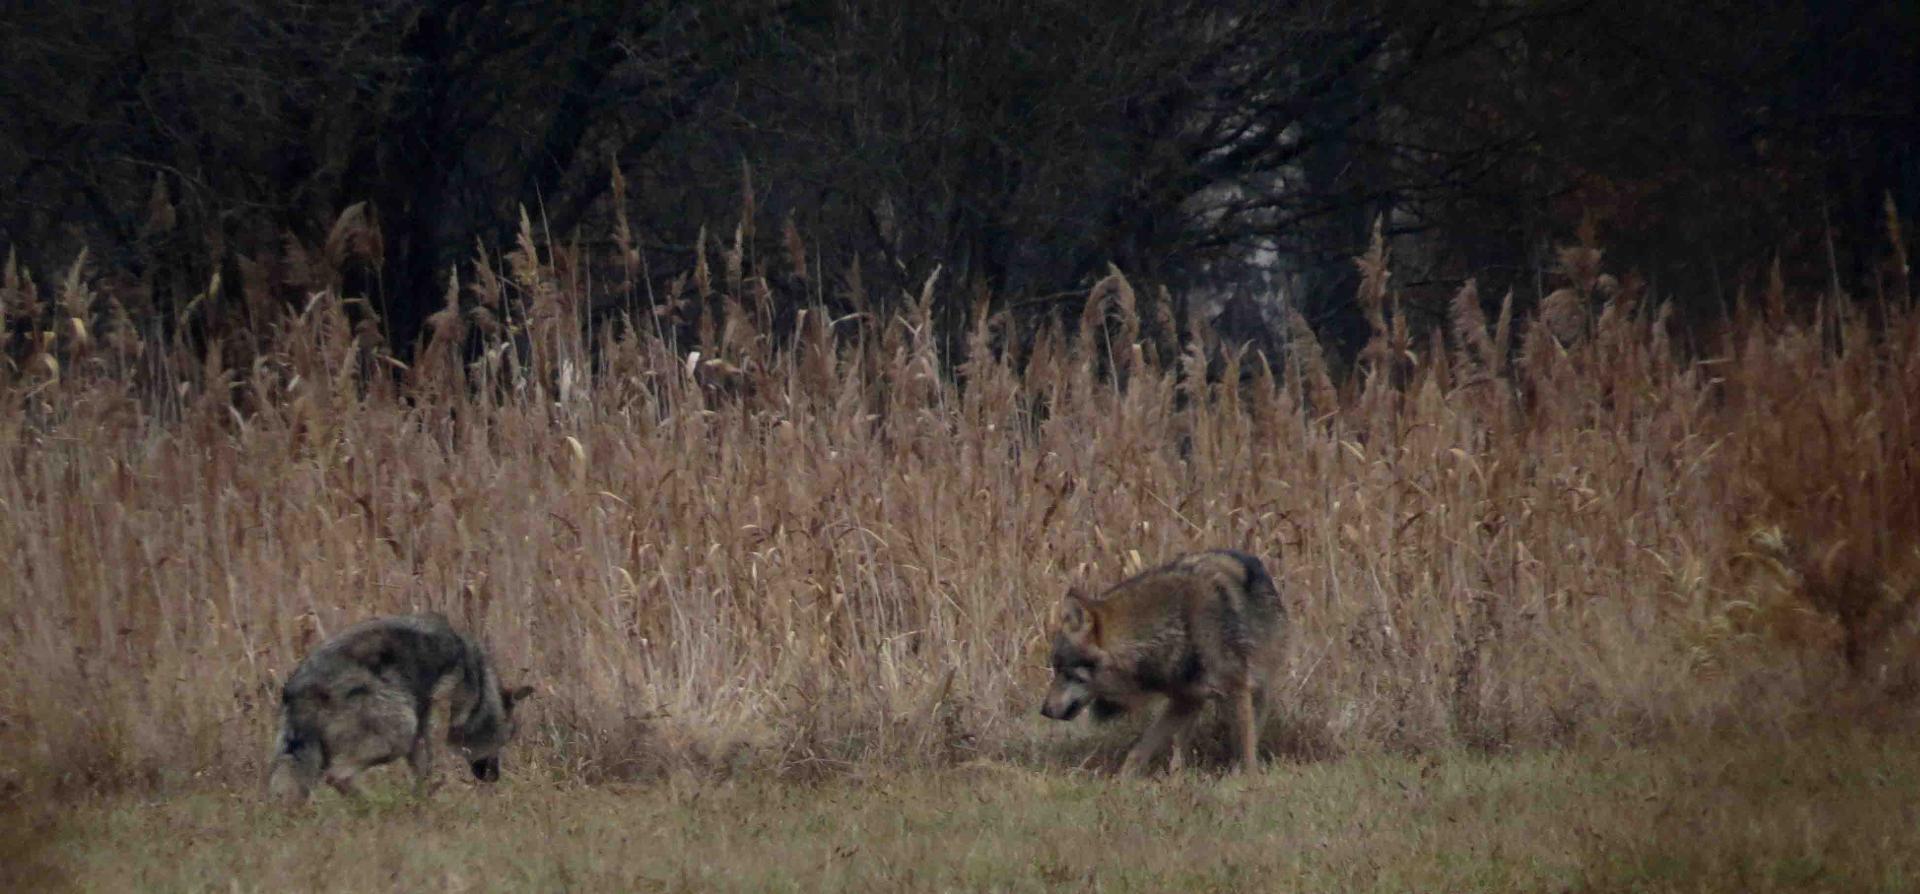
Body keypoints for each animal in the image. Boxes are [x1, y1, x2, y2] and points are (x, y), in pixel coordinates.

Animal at [263, 613, 533, 801]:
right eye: (506, 739)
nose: (495, 778)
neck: (478, 682)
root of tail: (303, 687)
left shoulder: (419, 736)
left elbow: (421, 774)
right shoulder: (429, 725)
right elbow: (429, 769)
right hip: (399, 732)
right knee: (337, 776)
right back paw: (374, 804)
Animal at [1036, 548, 1290, 771]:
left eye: (1065, 671)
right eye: (1055, 669)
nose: (1044, 711)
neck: (1177, 626)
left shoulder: (1235, 690)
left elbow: (1246, 752)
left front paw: (1249, 781)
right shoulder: (1184, 699)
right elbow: (1138, 752)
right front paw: (1122, 784)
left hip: (1256, 690)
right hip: (1193, 704)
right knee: (1179, 750)